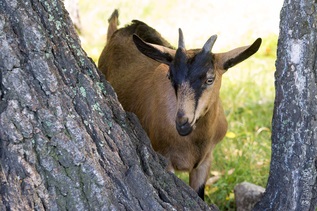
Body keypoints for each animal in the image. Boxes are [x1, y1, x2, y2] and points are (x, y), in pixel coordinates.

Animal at [98, 9, 260, 200]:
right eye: (170, 76)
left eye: (210, 79)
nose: (182, 122)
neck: (195, 142)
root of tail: (120, 31)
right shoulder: (165, 158)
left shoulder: (205, 161)